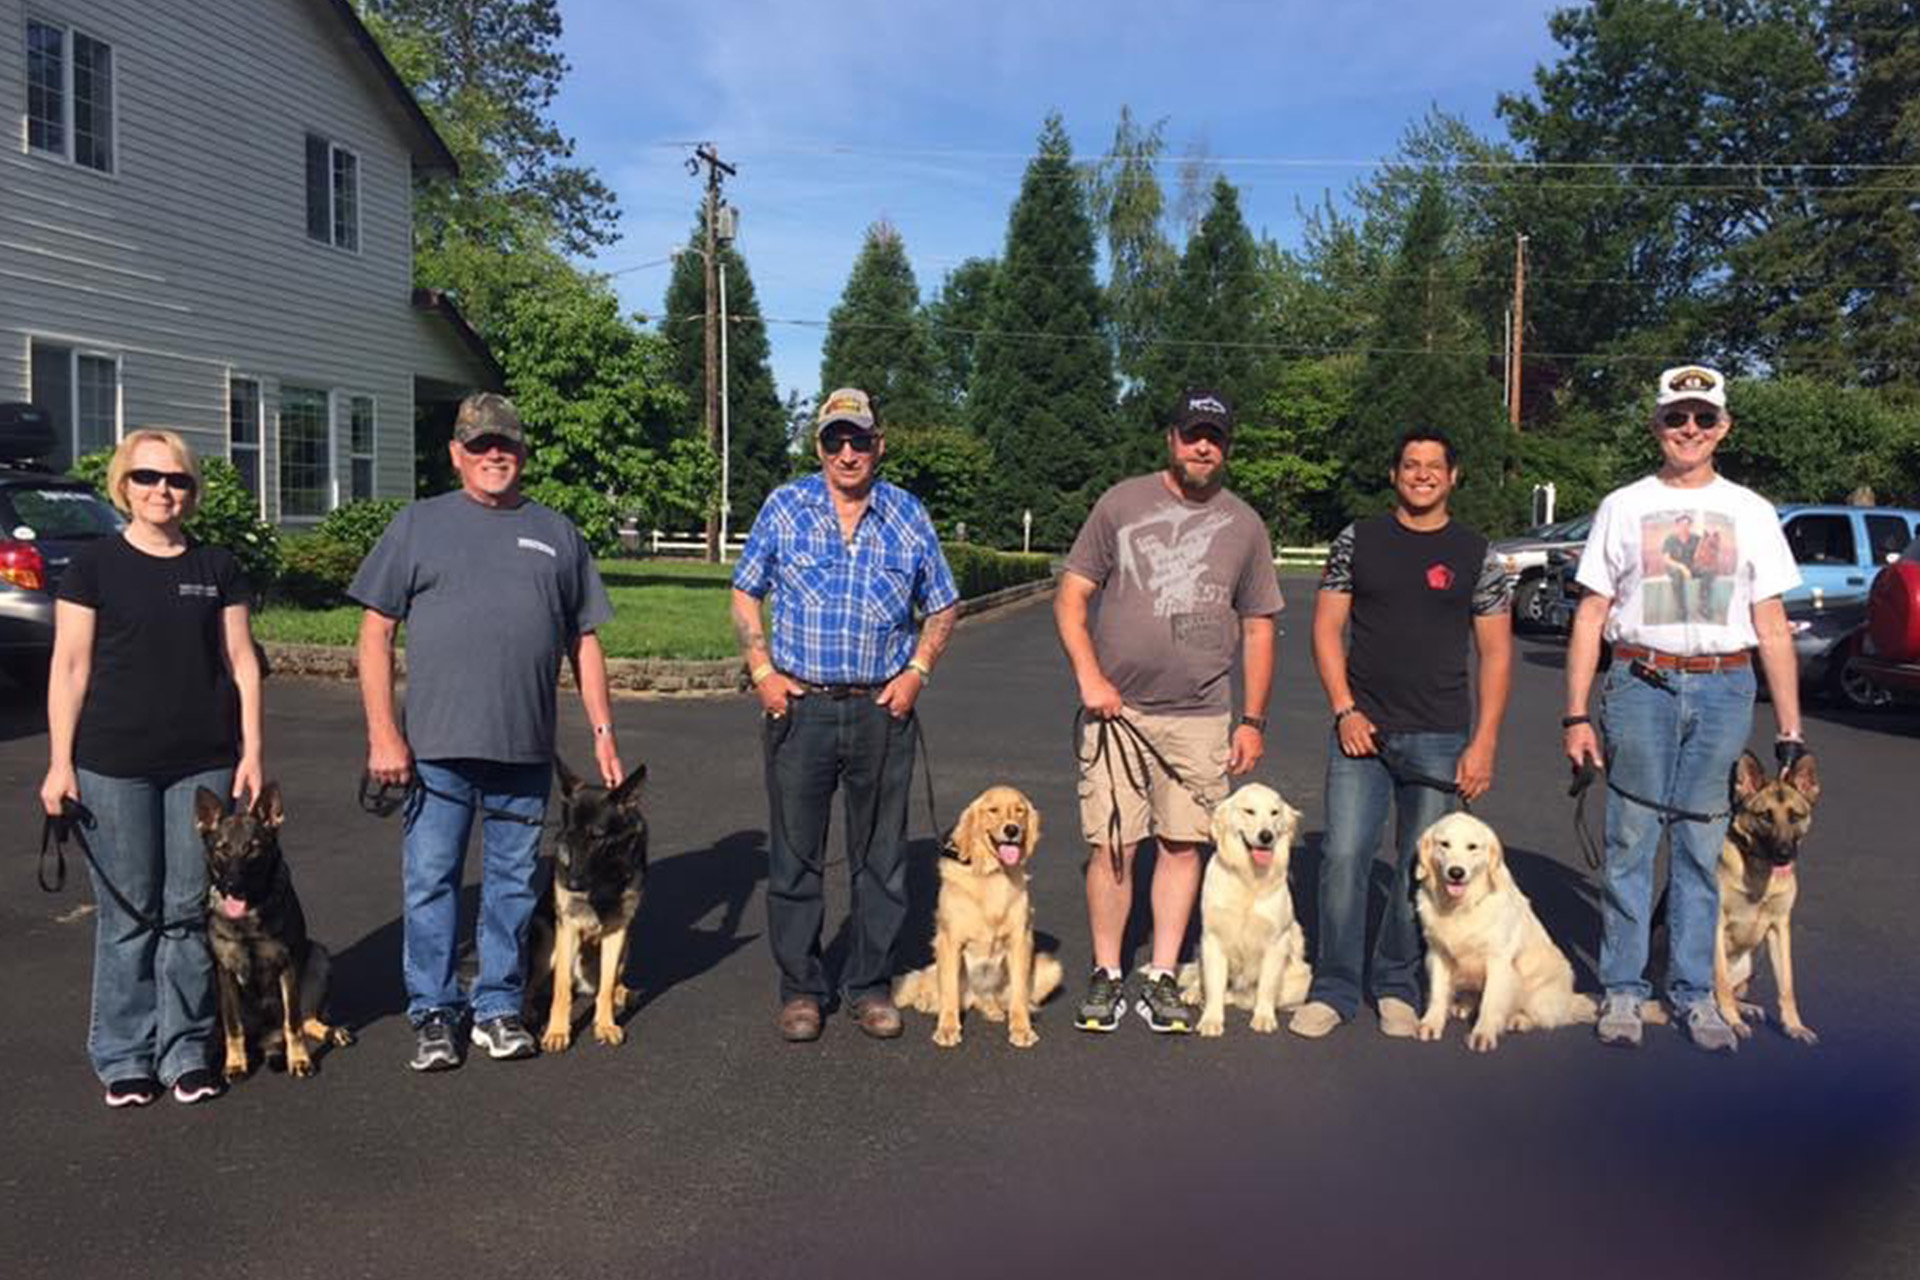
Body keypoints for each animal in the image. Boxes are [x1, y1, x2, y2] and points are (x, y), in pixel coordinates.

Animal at [194, 782, 353, 1082]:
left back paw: (330, 1031)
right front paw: (235, 1063)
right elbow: (233, 1027)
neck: (249, 916)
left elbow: (293, 1023)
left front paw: (299, 1059)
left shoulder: (287, 966)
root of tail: (266, 1036)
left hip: (317, 956)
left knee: (305, 1018)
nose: (232, 886)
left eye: (251, 849)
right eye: (222, 850)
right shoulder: (225, 973)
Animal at [1175, 782, 1313, 1043]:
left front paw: (1264, 1017)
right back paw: (1194, 993)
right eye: (1249, 811)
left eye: (1274, 813)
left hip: (1301, 978)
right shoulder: (1213, 939)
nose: (1266, 836)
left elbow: (1266, 986)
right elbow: (1214, 983)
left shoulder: (1277, 942)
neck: (1249, 878)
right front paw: (1211, 1019)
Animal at [1405, 809, 1597, 1051]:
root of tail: (1569, 999)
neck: (1462, 907)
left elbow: (1491, 1001)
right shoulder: (1438, 953)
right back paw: (1463, 1005)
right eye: (1444, 844)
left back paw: (1519, 1019)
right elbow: (1438, 993)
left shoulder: (1498, 959)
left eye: (1472, 847)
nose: (1456, 872)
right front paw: (1431, 1023)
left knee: (1546, 1017)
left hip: (1541, 991)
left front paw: (1483, 1034)